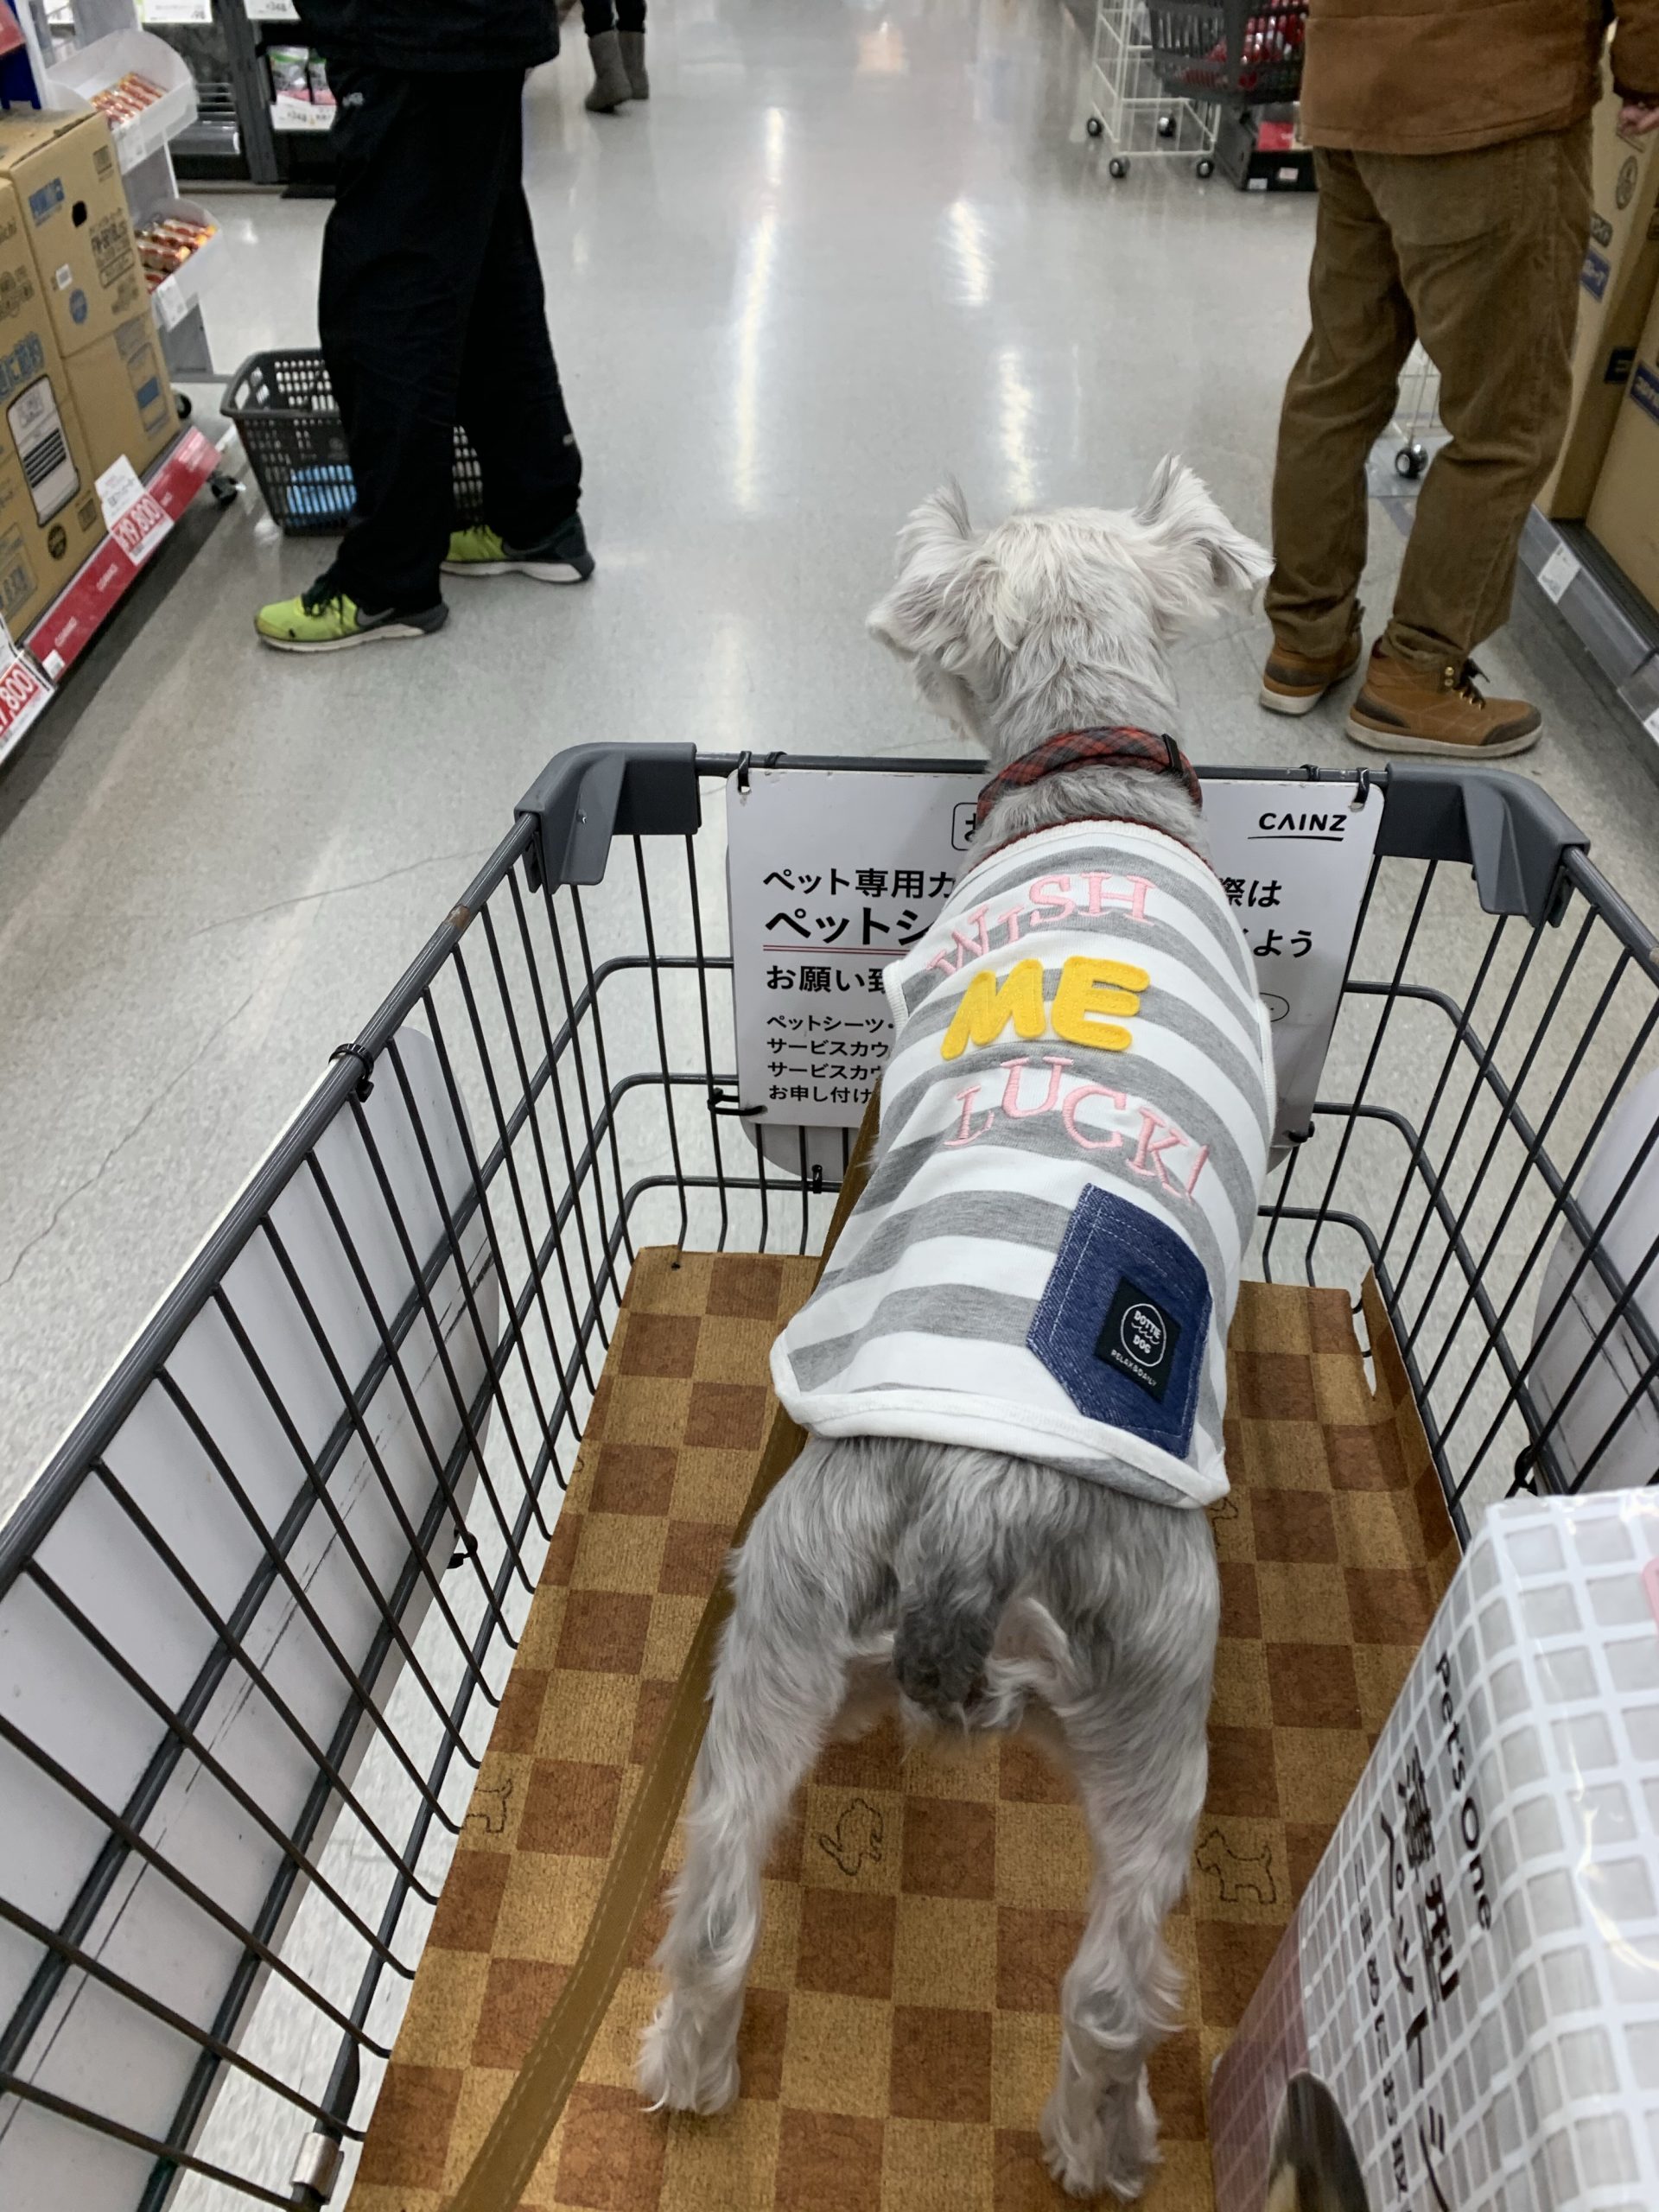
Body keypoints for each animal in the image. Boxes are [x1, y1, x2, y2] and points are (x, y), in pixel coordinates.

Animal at [641, 462, 1282, 2194]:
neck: (1090, 784)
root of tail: (977, 1511)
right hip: (1161, 1692)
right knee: (1112, 1993)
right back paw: (1102, 2148)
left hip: (787, 1630)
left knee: (716, 1911)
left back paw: (690, 2075)